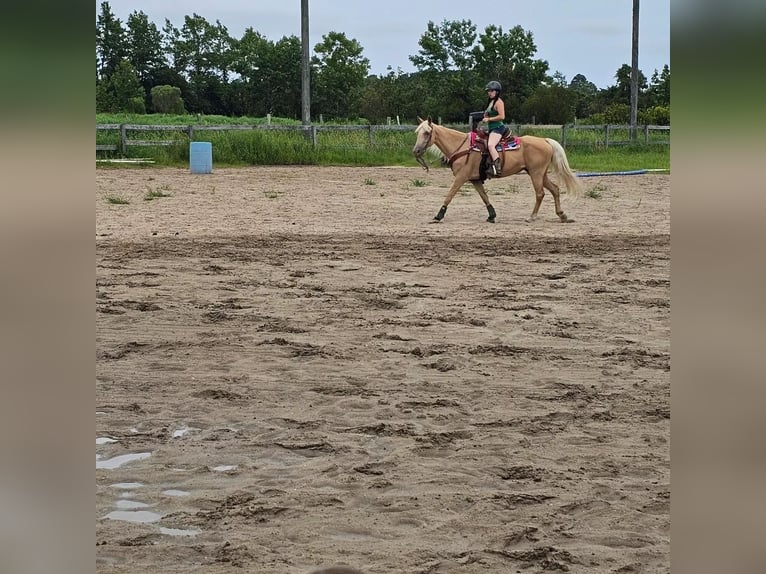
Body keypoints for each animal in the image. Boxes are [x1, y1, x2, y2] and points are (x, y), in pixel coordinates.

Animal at [414, 116, 584, 223]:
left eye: (427, 133)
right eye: (417, 133)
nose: (416, 151)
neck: (463, 147)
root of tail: (545, 140)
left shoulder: (461, 177)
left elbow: (449, 195)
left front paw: (438, 216)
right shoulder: (475, 179)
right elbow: (485, 197)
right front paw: (492, 216)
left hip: (536, 174)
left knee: (540, 193)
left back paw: (532, 217)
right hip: (540, 174)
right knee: (555, 189)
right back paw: (562, 216)